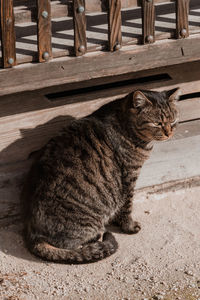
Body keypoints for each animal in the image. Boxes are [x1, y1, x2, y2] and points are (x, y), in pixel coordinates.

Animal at [22, 88, 180, 264]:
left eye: (173, 121)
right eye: (157, 123)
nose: (169, 133)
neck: (126, 126)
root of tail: (33, 235)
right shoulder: (129, 176)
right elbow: (127, 206)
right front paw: (129, 226)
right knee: (72, 245)